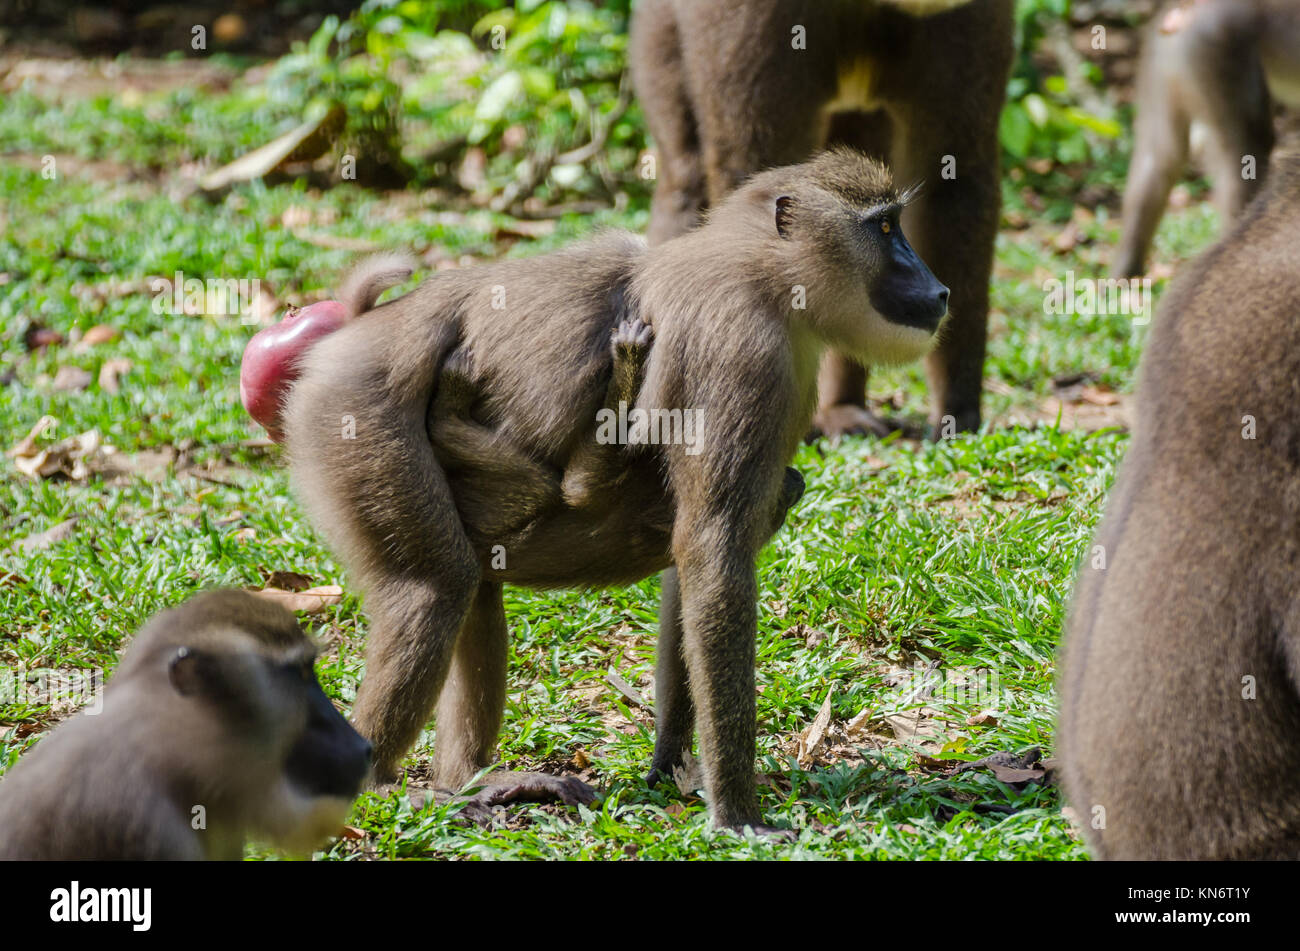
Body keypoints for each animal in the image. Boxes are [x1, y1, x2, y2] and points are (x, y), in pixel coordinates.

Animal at [261, 150, 956, 831]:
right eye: (885, 228)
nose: (940, 287)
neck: (762, 273)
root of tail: (356, 337)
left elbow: (690, 561)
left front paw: (672, 764)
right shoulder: (744, 352)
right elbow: (714, 550)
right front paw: (737, 813)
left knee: (476, 587)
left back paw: (470, 783)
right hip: (359, 423)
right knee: (437, 586)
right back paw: (383, 785)